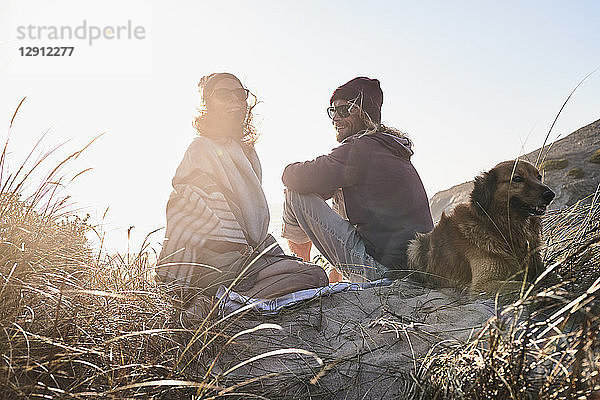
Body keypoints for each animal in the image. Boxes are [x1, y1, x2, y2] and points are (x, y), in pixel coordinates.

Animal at [406, 159, 556, 294]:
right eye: (517, 178)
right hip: (414, 246)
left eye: (539, 177)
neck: (499, 228)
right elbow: (529, 285)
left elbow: (552, 275)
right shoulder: (483, 284)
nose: (550, 194)